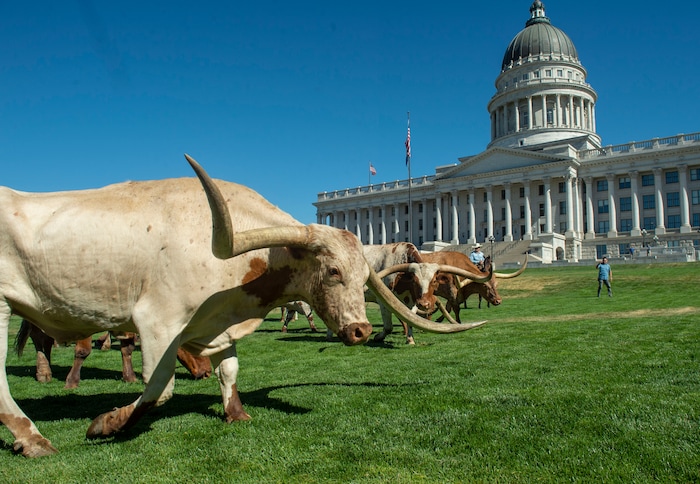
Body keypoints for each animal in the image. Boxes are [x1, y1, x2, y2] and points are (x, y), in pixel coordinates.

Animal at [15, 320, 212, 387]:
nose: (208, 372)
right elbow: (83, 350)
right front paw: (72, 382)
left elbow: (128, 348)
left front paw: (129, 377)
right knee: (39, 337)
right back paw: (43, 373)